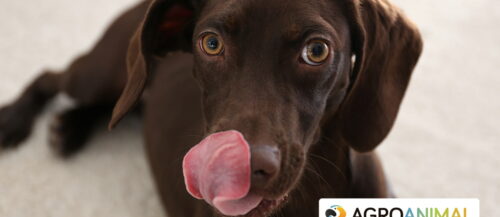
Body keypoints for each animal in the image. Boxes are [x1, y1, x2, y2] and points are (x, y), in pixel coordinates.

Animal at [0, 0, 422, 216]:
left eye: (317, 50)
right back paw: (15, 122)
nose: (240, 170)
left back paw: (70, 128)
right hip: (103, 71)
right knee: (52, 77)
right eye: (212, 43)